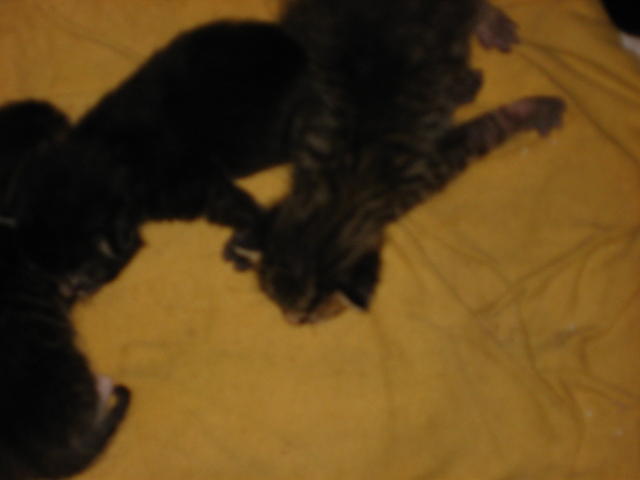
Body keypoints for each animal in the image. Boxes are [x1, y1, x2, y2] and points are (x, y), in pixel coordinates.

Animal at [4, 20, 306, 298]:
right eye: (45, 275)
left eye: (84, 274)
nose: (69, 293)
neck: (114, 151)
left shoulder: (194, 184)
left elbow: (236, 205)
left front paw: (255, 236)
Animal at [224, 0, 566, 324]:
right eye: (274, 299)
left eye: (314, 312)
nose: (291, 320)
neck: (341, 193)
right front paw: (244, 239)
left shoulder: (427, 172)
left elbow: (487, 130)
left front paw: (532, 109)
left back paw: (488, 29)